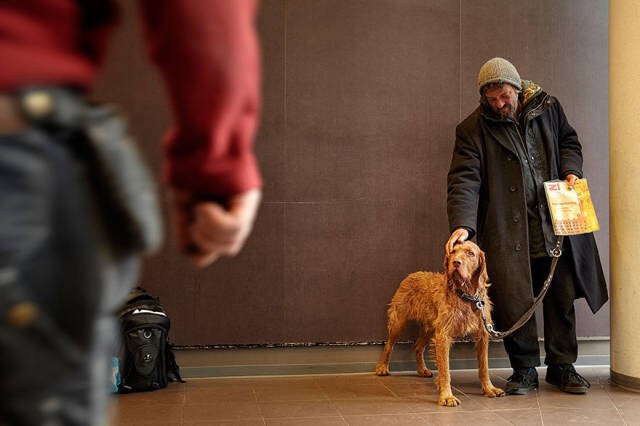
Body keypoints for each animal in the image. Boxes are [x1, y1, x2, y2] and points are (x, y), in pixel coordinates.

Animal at [376, 240, 504, 406]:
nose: (456, 262)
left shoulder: (482, 335)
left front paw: (489, 389)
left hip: (429, 328)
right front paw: (447, 396)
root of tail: (412, 274)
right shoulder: (443, 336)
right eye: (453, 251)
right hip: (399, 322)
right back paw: (382, 367)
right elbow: (445, 371)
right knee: (389, 345)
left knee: (417, 347)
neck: (466, 295)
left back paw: (422, 370)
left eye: (470, 253)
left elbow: (484, 367)